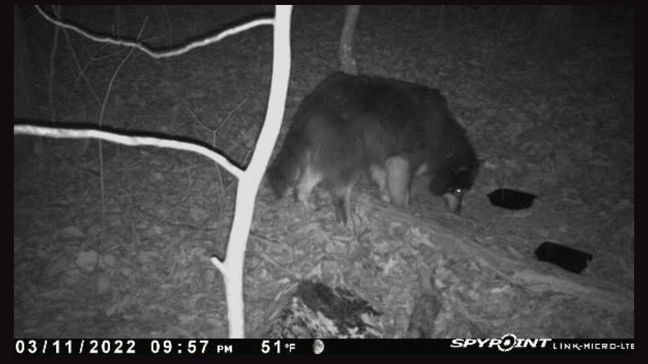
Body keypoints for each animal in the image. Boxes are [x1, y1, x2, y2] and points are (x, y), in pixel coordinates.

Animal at [266, 72, 478, 223]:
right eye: (459, 191)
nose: (459, 212)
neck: (446, 143)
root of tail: (319, 94)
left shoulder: (384, 159)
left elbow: (384, 179)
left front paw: (386, 198)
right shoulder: (403, 159)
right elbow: (403, 192)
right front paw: (403, 210)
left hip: (329, 147)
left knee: (306, 182)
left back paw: (304, 204)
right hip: (349, 153)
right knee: (340, 191)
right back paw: (346, 220)